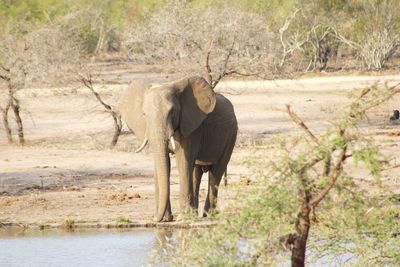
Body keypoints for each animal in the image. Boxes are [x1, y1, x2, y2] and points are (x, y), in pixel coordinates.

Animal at [119, 76, 238, 223]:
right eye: (144, 114)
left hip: (231, 134)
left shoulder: (191, 127)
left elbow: (183, 161)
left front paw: (182, 218)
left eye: (172, 112)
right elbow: (161, 164)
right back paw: (196, 215)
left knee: (216, 172)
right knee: (196, 172)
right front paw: (165, 219)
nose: (155, 219)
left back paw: (208, 215)